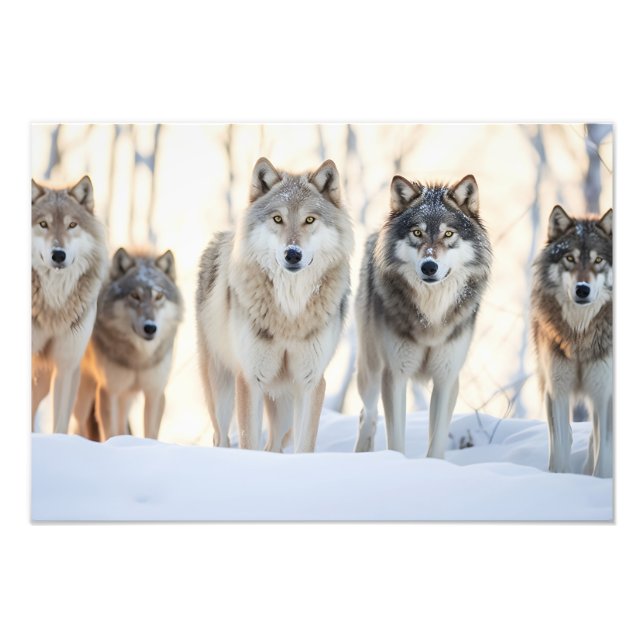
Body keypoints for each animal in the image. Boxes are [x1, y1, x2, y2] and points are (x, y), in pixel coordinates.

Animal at [74, 248, 184, 441]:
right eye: (135, 295)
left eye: (159, 296)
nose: (150, 327)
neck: (139, 359)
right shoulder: (109, 391)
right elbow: (109, 431)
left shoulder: (155, 392)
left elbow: (151, 433)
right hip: (82, 395)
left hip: (126, 397)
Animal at [196, 157, 354, 452]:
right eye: (277, 218)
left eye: (309, 219)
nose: (292, 254)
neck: (290, 312)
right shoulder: (250, 379)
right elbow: (248, 442)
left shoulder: (311, 381)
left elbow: (305, 445)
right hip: (221, 389)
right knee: (222, 438)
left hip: (284, 404)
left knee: (274, 447)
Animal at [354, 174, 492, 456]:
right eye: (417, 233)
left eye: (448, 234)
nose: (429, 267)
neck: (432, 315)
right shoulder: (394, 374)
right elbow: (396, 439)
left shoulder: (447, 377)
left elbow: (437, 440)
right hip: (371, 372)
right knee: (368, 414)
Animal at [531, 205, 613, 477]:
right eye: (570, 258)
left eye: (598, 260)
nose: (582, 289)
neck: (579, 335)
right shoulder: (558, 389)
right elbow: (561, 441)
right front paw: (561, 478)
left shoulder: (604, 391)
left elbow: (603, 447)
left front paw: (599, 478)